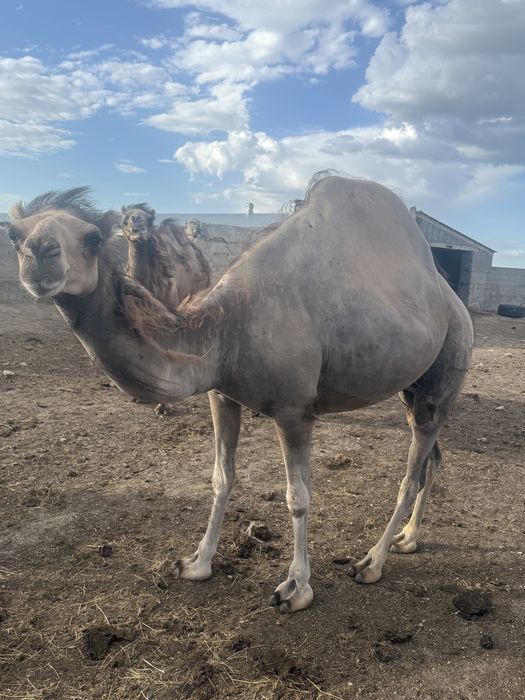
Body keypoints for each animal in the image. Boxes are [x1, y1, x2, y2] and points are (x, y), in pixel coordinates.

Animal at [2, 176, 473, 613]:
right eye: (15, 235)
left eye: (93, 238)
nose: (40, 253)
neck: (228, 327)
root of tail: (455, 302)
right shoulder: (222, 396)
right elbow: (221, 477)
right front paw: (196, 563)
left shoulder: (294, 409)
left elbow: (298, 497)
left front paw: (297, 588)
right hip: (412, 388)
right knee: (432, 459)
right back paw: (408, 538)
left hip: (448, 370)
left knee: (411, 472)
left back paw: (372, 562)